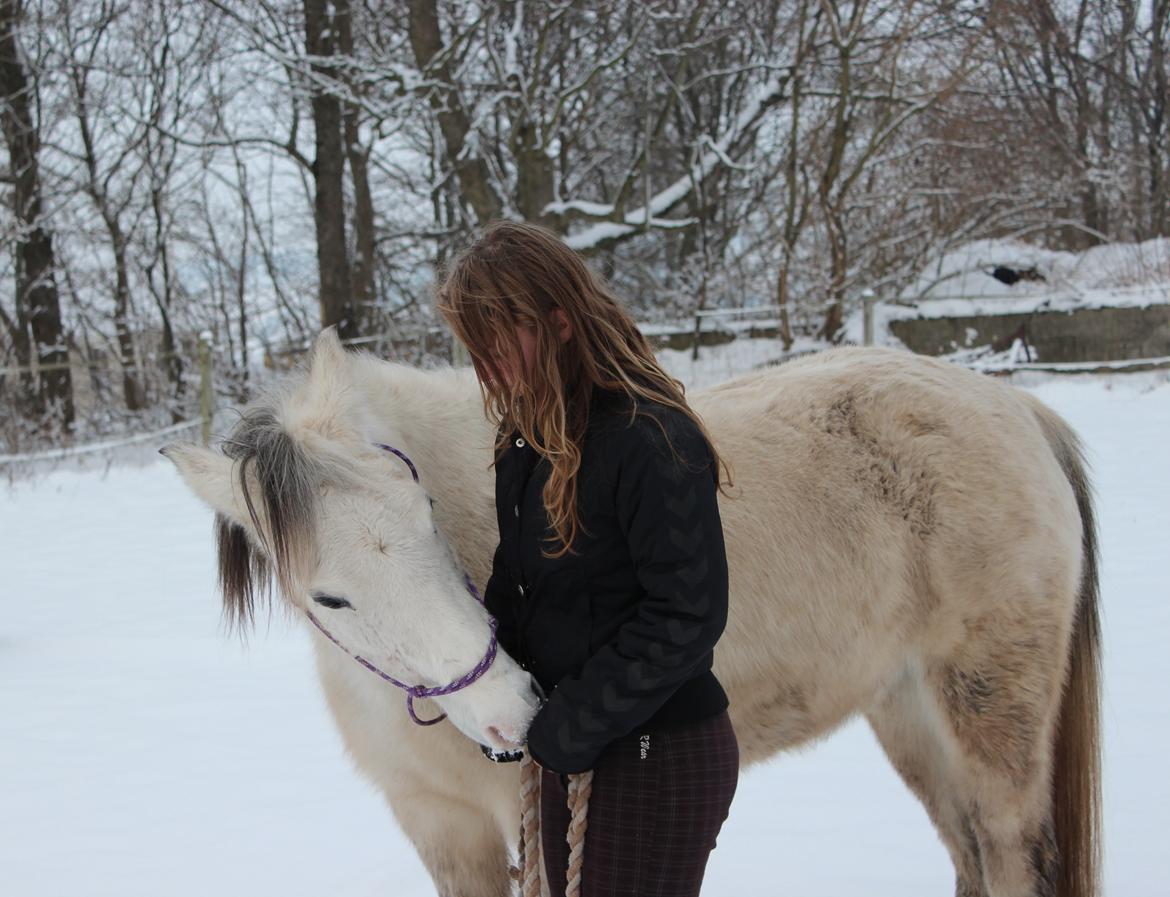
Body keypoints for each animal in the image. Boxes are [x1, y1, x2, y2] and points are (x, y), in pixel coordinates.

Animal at [162, 332, 1095, 897]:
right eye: (329, 596)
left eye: (424, 509)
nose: (513, 709)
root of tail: (1015, 409)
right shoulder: (441, 827)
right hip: (907, 709)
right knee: (967, 849)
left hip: (989, 707)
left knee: (1009, 847)